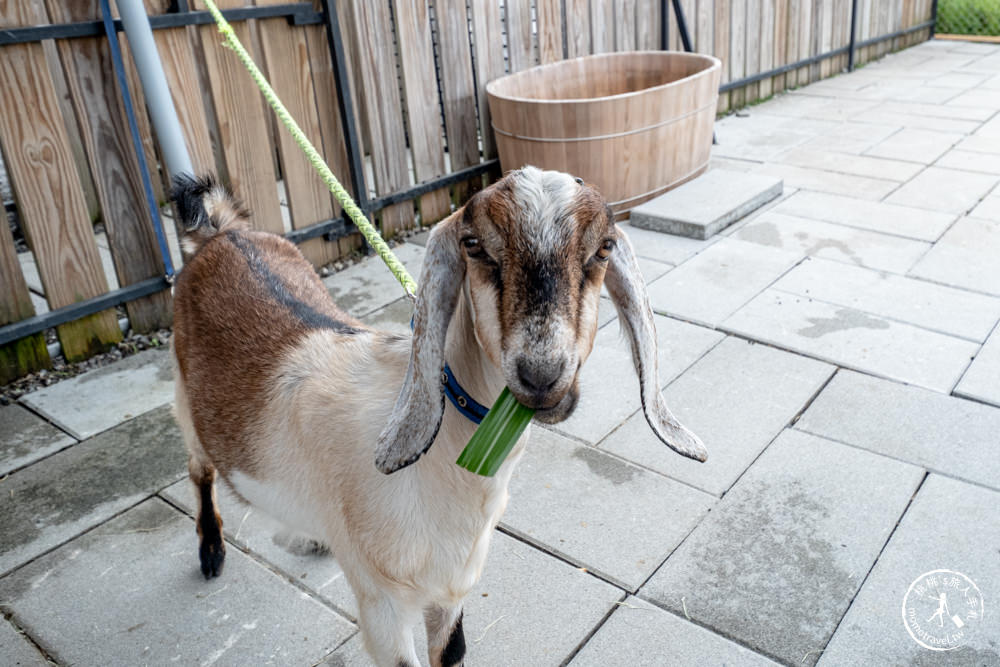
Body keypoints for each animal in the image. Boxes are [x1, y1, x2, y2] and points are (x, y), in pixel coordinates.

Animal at [170, 167, 704, 667]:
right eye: (474, 245)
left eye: (604, 247)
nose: (541, 376)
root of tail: (220, 232)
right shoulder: (382, 610)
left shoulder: (449, 593)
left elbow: (452, 650)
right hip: (184, 404)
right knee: (200, 470)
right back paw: (211, 553)